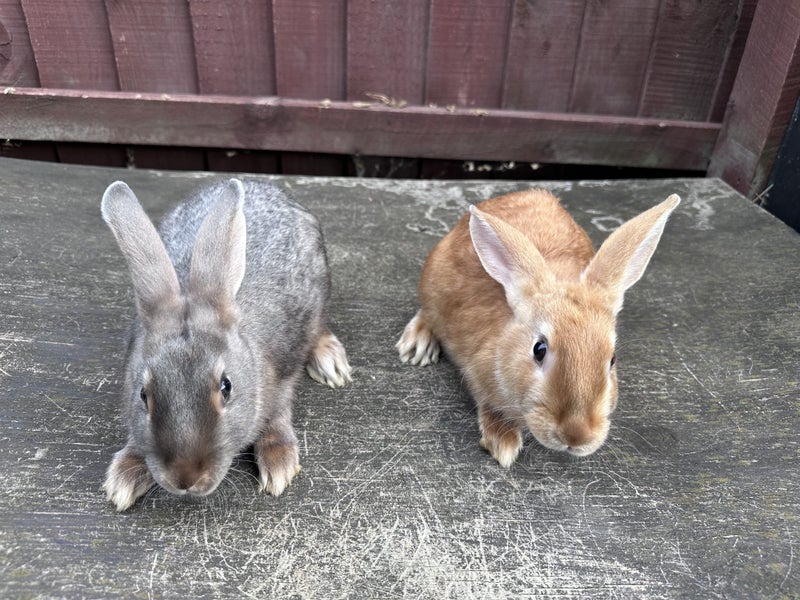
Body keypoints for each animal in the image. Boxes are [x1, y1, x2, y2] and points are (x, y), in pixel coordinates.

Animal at [100, 178, 352, 511]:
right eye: (143, 394)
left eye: (226, 387)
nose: (186, 479)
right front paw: (124, 477)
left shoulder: (283, 377)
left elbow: (278, 415)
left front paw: (279, 463)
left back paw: (330, 362)